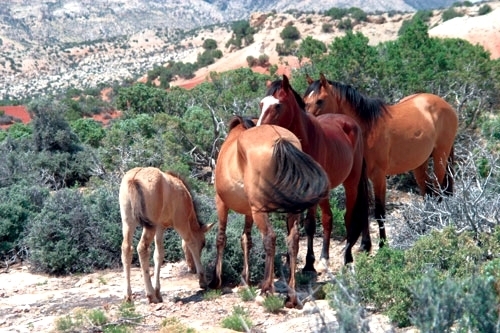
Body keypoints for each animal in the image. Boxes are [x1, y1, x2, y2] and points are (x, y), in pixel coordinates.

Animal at [122, 167, 216, 302]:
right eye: (203, 243)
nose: (191, 268)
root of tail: (134, 178)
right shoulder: (180, 223)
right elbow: (191, 242)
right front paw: (202, 281)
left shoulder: (160, 227)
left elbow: (159, 254)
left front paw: (158, 292)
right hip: (150, 226)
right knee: (142, 248)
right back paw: (150, 295)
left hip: (128, 223)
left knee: (126, 249)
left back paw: (128, 296)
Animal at [213, 115, 330, 308]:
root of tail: (280, 141)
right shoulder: (248, 211)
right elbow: (246, 240)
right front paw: (245, 279)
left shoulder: (221, 202)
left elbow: (221, 238)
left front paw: (216, 280)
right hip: (288, 211)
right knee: (293, 240)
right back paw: (290, 296)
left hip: (259, 211)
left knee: (270, 238)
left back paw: (265, 290)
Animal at [258, 74, 372, 270]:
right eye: (261, 104)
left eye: (278, 105)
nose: (257, 130)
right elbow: (291, 225)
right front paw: (290, 262)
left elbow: (311, 224)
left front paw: (311, 263)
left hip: (351, 182)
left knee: (347, 216)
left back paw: (347, 255)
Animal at [302, 72, 458, 245]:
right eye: (304, 99)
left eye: (320, 100)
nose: (307, 124)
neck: (366, 130)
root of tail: (445, 104)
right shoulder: (361, 178)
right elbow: (364, 210)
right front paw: (364, 245)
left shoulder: (379, 177)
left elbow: (379, 213)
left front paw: (383, 245)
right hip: (420, 164)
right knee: (427, 193)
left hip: (440, 157)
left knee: (440, 192)